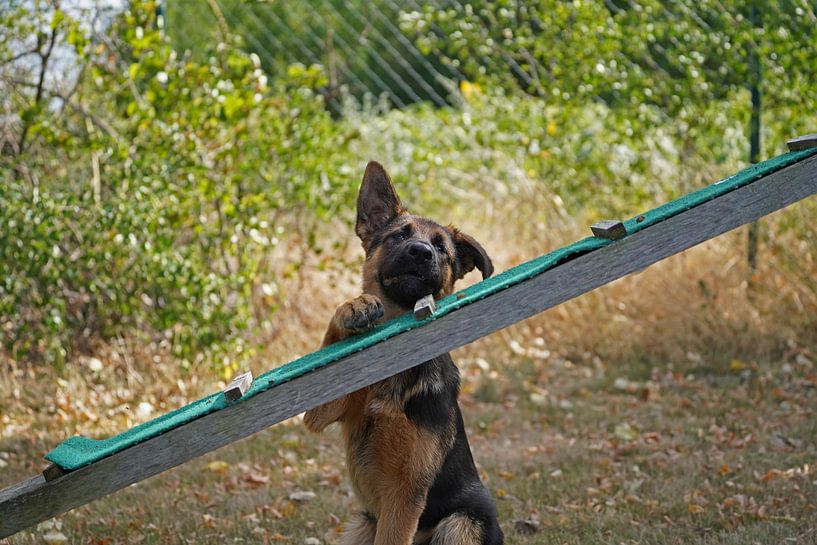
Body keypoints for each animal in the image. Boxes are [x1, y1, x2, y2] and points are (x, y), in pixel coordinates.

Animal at [302, 162, 500, 544]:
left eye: (441, 249)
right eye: (399, 236)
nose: (420, 252)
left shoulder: (405, 495)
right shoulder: (320, 412)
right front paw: (352, 307)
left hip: (460, 523)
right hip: (361, 524)